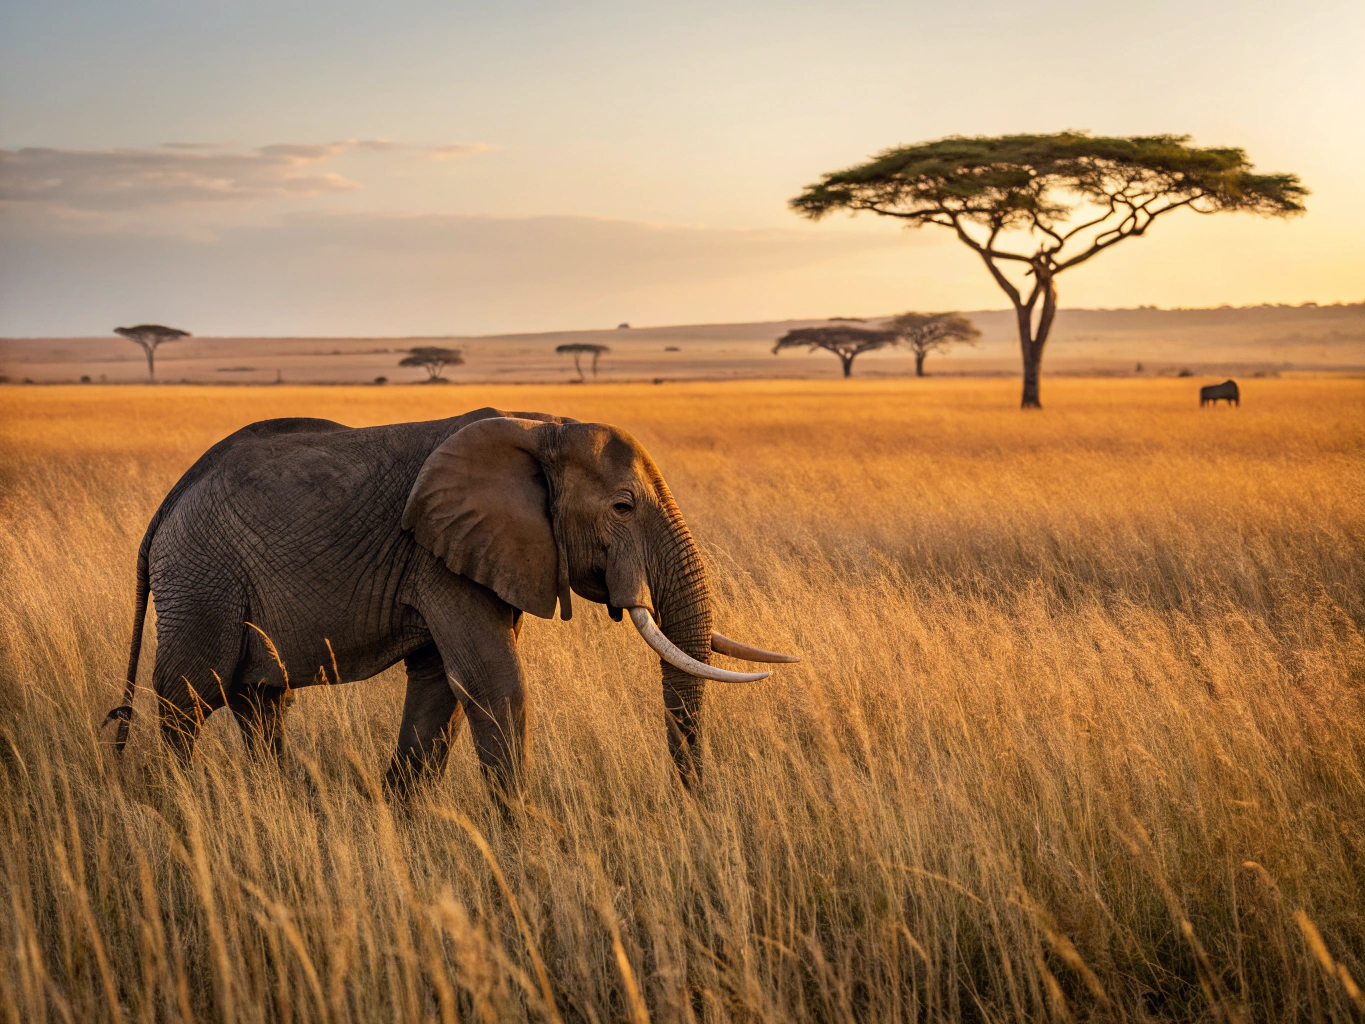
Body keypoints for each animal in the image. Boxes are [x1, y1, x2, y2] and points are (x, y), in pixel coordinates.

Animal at [102, 407, 796, 798]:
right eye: (623, 507)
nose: (693, 806)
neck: (542, 426)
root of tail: (168, 504)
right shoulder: (440, 557)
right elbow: (493, 683)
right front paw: (526, 845)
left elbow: (442, 688)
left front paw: (395, 818)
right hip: (201, 579)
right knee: (191, 697)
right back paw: (181, 805)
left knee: (261, 702)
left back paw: (283, 801)